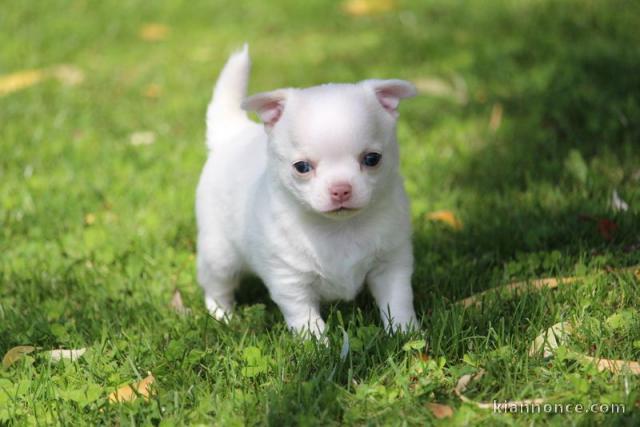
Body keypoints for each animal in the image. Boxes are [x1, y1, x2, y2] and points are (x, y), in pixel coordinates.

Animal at [198, 46, 418, 338]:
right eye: (302, 167)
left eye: (372, 159)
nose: (341, 189)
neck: (338, 230)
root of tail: (232, 134)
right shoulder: (290, 281)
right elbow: (305, 318)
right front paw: (317, 344)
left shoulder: (391, 264)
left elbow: (398, 301)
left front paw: (407, 333)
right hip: (219, 253)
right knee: (216, 286)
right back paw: (222, 315)